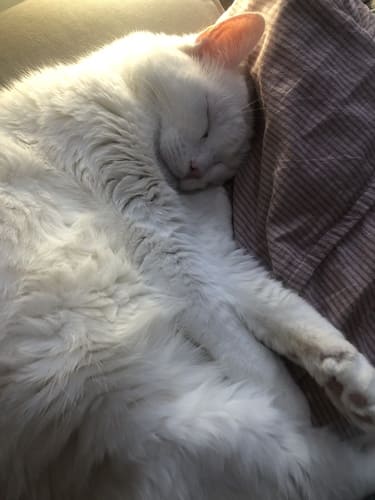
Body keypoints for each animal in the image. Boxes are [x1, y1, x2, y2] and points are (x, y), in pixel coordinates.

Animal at [0, 11, 375, 500]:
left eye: (222, 163)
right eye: (207, 122)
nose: (197, 170)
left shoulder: (207, 248)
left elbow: (283, 310)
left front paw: (344, 369)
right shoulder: (161, 243)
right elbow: (248, 349)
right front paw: (291, 398)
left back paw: (357, 398)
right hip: (216, 429)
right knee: (321, 467)